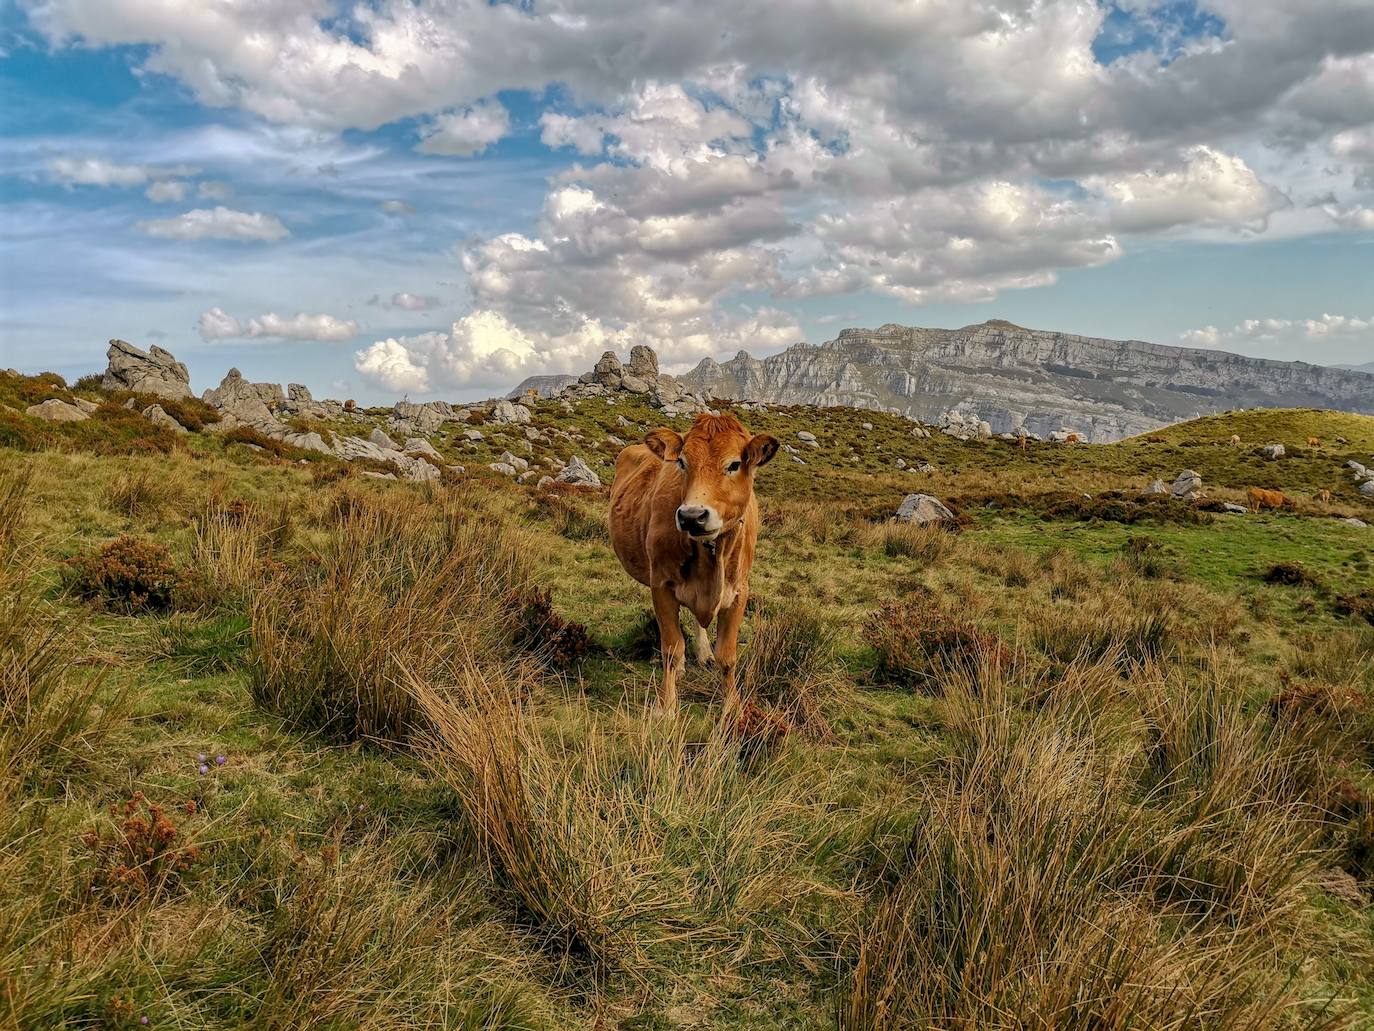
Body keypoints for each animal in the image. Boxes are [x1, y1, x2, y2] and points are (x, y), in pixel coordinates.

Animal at [610, 415, 780, 714]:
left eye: (734, 464)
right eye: (682, 462)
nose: (692, 516)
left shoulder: (739, 592)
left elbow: (728, 656)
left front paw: (732, 705)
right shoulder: (661, 585)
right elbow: (671, 648)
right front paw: (666, 706)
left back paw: (703, 653)